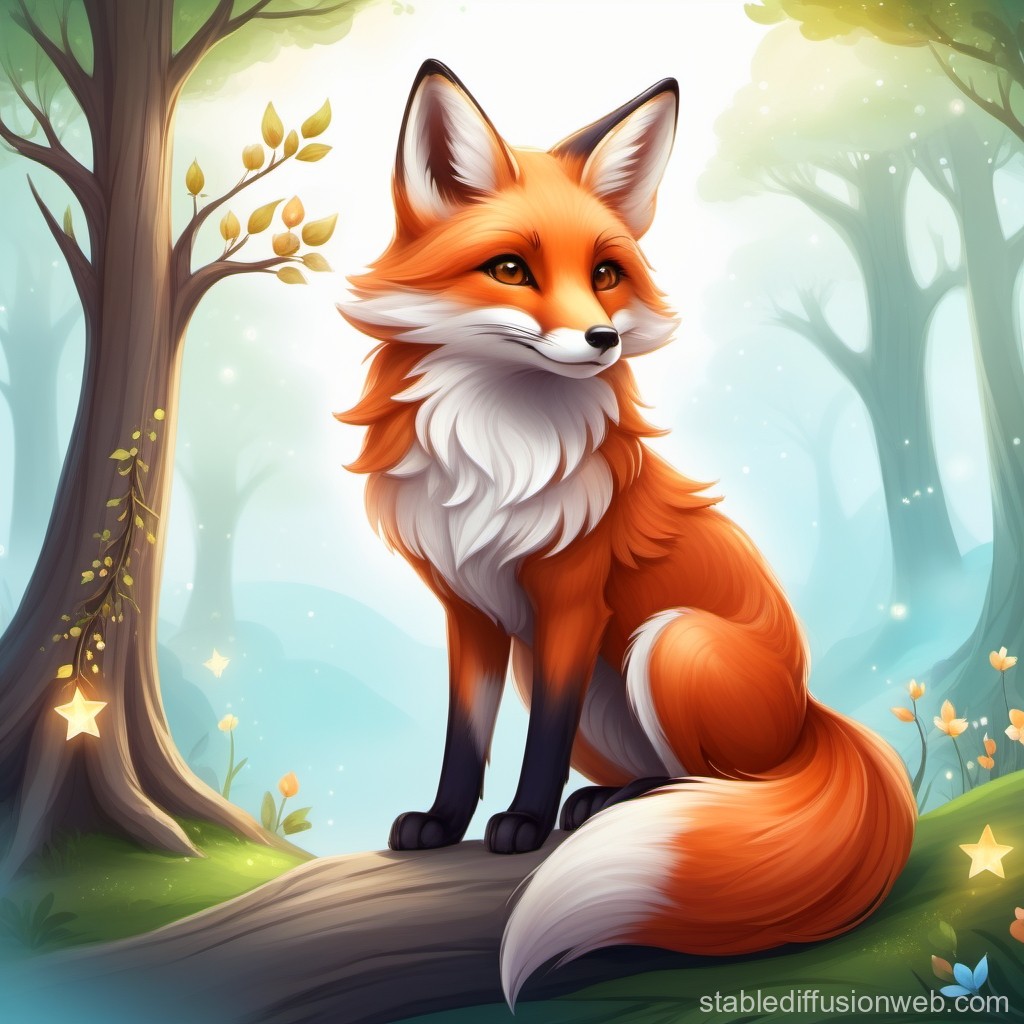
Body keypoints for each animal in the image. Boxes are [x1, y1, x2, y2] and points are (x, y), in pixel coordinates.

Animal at [337, 60, 916, 1007]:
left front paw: (523, 822)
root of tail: (812, 714)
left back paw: (623, 808)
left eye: (606, 273)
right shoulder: (472, 610)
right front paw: (446, 821)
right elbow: (465, 736)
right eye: (510, 268)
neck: (500, 449)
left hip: (669, 641)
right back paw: (608, 801)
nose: (603, 338)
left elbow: (536, 745)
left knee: (725, 787)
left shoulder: (574, 598)